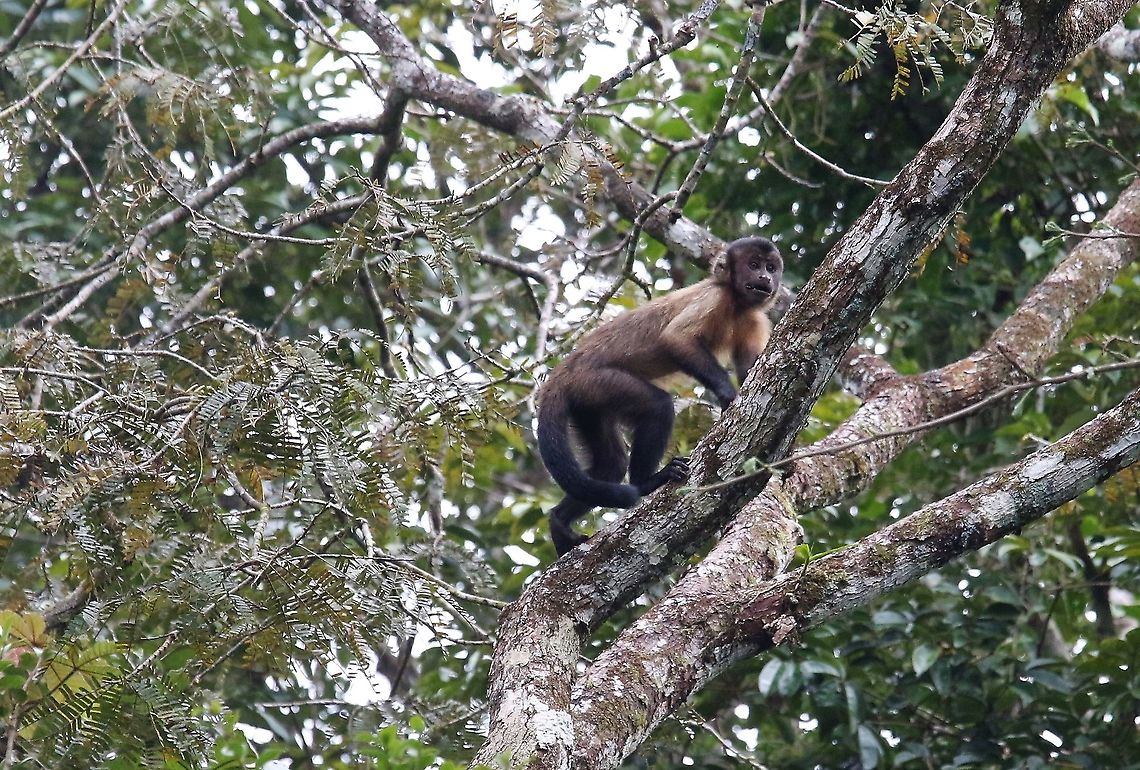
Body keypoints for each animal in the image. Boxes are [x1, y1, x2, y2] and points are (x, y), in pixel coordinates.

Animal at [536, 236, 783, 555]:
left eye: (770, 268)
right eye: (753, 265)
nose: (765, 278)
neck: (737, 304)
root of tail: (562, 371)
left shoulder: (755, 318)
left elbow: (755, 369)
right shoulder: (714, 298)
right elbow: (676, 340)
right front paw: (727, 394)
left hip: (585, 402)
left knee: (611, 466)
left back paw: (559, 521)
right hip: (593, 381)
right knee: (658, 407)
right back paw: (648, 482)